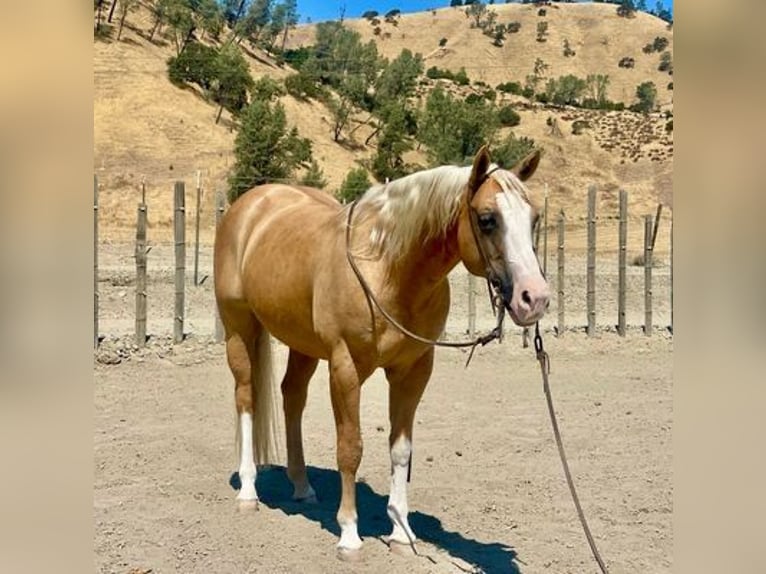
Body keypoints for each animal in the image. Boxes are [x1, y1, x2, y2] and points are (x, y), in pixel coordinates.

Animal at [216, 146, 552, 560]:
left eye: (534, 218)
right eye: (488, 220)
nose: (534, 298)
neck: (388, 270)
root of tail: (251, 203)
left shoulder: (414, 370)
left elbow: (401, 451)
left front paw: (401, 533)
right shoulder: (344, 367)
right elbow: (350, 447)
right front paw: (349, 535)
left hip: (302, 343)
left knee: (291, 397)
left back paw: (302, 486)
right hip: (239, 327)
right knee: (246, 397)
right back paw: (248, 491)